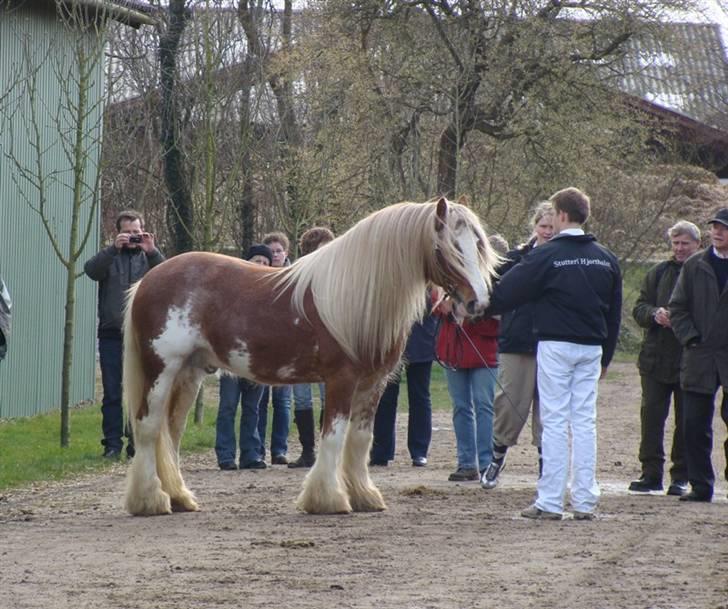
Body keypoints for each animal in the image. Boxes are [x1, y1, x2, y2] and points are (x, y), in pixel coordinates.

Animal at [123, 198, 500, 512]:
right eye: (450, 248)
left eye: (479, 246)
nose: (478, 303)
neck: (358, 296)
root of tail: (147, 280)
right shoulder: (341, 381)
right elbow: (332, 437)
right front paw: (328, 499)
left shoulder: (373, 384)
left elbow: (360, 439)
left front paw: (364, 496)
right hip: (161, 371)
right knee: (148, 427)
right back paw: (150, 500)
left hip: (189, 373)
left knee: (171, 432)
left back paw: (179, 498)